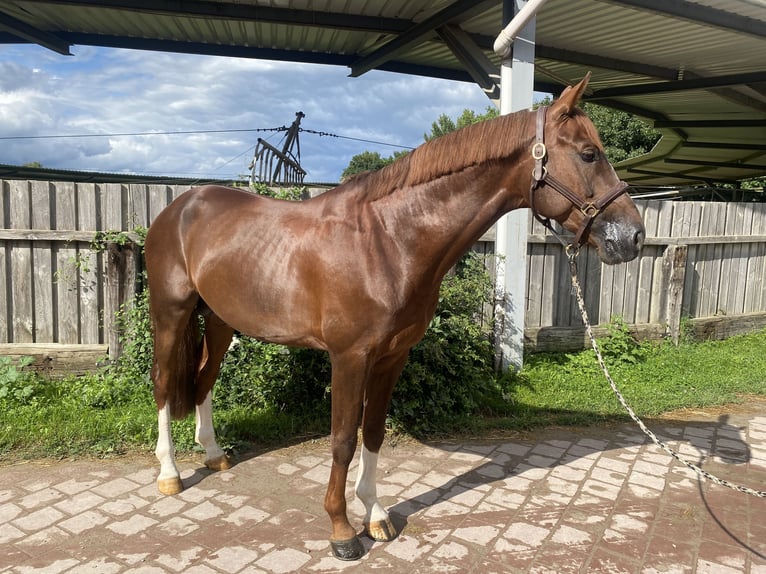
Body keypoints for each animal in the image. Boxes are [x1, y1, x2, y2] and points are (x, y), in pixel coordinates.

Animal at [146, 76, 648, 564]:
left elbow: (373, 432)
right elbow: (343, 439)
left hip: (220, 321)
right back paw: (170, 474)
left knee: (204, 379)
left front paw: (375, 515)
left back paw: (214, 455)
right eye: (589, 153)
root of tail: (181, 207)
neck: (387, 240)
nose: (634, 236)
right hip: (170, 314)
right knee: (165, 382)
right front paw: (341, 530)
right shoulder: (349, 358)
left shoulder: (392, 357)